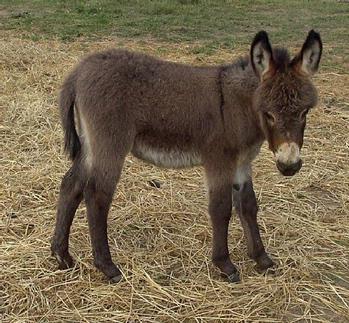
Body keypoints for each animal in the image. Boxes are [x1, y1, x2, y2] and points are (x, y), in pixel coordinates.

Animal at [51, 31, 320, 284]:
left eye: (305, 112)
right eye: (269, 114)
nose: (289, 166)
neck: (238, 106)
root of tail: (79, 71)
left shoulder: (242, 162)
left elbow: (248, 206)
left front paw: (262, 258)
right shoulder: (219, 160)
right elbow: (221, 208)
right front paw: (225, 265)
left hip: (90, 145)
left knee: (71, 185)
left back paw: (61, 256)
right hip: (110, 144)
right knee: (97, 195)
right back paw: (107, 267)